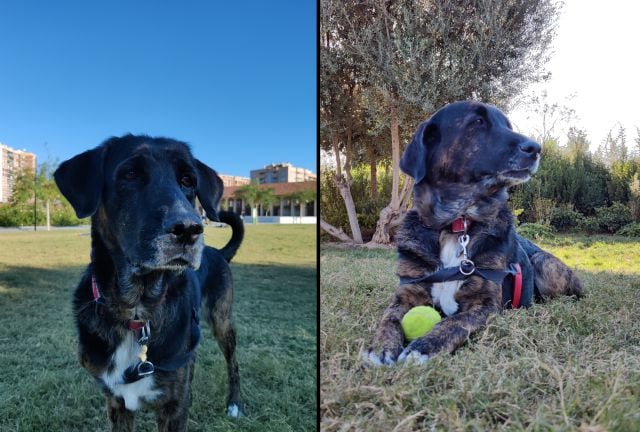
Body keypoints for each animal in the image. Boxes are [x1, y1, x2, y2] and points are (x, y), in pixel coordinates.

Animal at [53, 134, 244, 428]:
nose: (189, 229)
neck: (137, 311)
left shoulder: (174, 407)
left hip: (222, 321)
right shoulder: (116, 403)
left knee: (232, 362)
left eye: (188, 180)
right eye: (130, 175)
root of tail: (218, 252)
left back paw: (235, 402)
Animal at [362, 101, 584, 364]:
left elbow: (456, 323)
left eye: (508, 125)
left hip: (543, 261)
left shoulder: (485, 305)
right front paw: (381, 346)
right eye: (478, 122)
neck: (456, 224)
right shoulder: (405, 294)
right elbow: (389, 318)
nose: (536, 148)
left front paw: (424, 346)